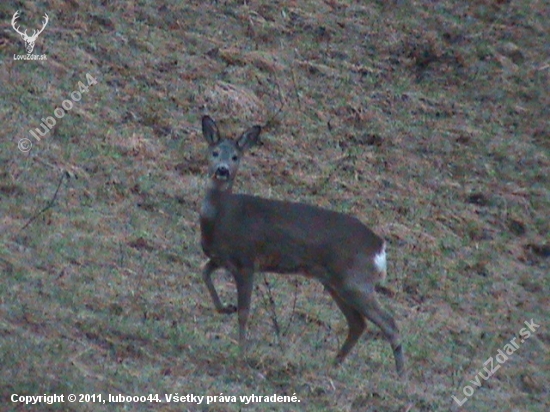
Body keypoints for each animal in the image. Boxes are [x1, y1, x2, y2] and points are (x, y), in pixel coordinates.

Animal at [198, 114, 406, 374]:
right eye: (214, 152)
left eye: (235, 156)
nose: (222, 170)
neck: (223, 216)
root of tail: (379, 246)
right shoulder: (222, 258)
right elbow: (204, 272)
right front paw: (225, 307)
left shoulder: (246, 261)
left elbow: (244, 312)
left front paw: (241, 354)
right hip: (335, 282)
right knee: (358, 323)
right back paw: (334, 364)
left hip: (355, 281)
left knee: (390, 323)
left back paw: (400, 376)